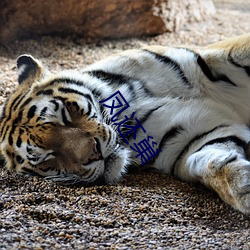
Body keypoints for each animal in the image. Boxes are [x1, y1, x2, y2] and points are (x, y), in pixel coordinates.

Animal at [0, 32, 250, 213]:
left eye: (65, 116)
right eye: (48, 158)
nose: (95, 153)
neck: (129, 107)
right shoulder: (188, 138)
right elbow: (210, 162)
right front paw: (243, 188)